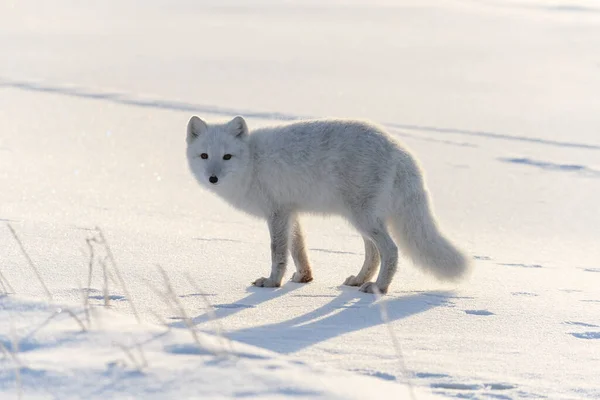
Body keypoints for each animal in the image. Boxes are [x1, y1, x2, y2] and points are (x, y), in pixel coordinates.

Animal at [185, 115, 472, 294]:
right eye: (204, 155)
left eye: (227, 156)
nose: (213, 178)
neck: (252, 161)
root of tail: (400, 151)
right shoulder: (291, 213)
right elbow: (298, 249)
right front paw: (304, 278)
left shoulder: (277, 213)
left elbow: (278, 253)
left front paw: (272, 282)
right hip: (362, 219)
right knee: (373, 252)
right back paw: (359, 280)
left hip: (363, 218)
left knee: (390, 250)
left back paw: (378, 288)